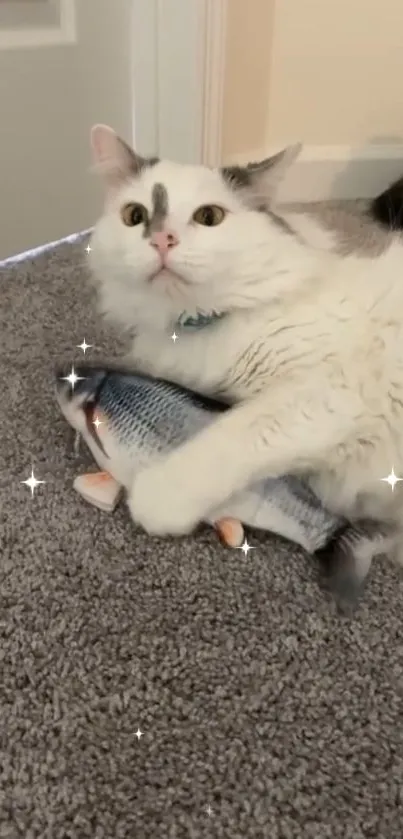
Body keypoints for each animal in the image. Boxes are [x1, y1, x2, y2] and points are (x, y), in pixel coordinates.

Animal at [90, 123, 403, 596]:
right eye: (134, 216)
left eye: (208, 217)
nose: (161, 240)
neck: (201, 323)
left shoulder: (326, 397)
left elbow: (227, 438)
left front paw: (157, 497)